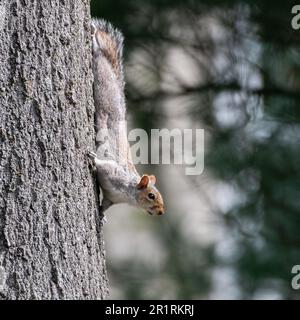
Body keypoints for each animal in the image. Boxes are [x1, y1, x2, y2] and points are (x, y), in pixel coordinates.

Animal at [88, 18, 165, 216]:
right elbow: (102, 165)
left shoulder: (112, 198)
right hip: (101, 84)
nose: (161, 212)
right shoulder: (113, 173)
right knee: (98, 56)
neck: (129, 195)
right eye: (151, 196)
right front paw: (93, 157)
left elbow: (105, 205)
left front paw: (102, 216)